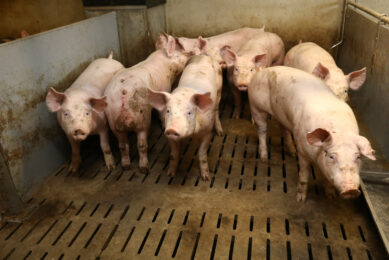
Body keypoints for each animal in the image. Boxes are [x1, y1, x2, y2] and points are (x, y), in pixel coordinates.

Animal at [104, 34, 190, 173]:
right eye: (178, 54)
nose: (190, 54)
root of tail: (123, 92)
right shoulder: (165, 89)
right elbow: (161, 112)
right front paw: (163, 124)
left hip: (112, 118)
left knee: (122, 145)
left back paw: (126, 166)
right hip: (142, 117)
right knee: (142, 144)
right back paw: (144, 168)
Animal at [247, 66, 374, 202]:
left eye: (358, 157)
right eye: (331, 156)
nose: (351, 190)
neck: (340, 132)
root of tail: (263, 70)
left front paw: (331, 196)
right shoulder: (302, 151)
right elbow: (303, 176)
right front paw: (300, 199)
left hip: (282, 115)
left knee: (284, 129)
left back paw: (292, 153)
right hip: (255, 106)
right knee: (262, 130)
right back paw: (264, 158)